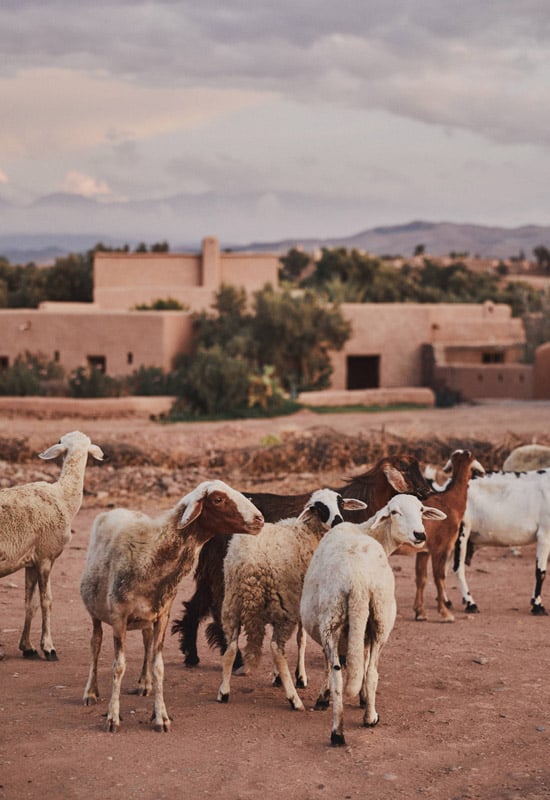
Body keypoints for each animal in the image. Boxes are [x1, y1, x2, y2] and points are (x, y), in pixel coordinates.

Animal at [0, 430, 104, 661]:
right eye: (60, 441)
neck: (63, 496)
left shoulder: (31, 559)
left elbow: (30, 604)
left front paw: (27, 647)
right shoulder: (46, 556)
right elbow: (47, 601)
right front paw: (48, 647)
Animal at [80, 480, 264, 732]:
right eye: (217, 499)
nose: (259, 519)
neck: (151, 552)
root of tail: (116, 510)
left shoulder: (162, 615)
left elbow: (158, 666)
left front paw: (161, 716)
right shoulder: (119, 617)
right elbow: (119, 666)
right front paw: (112, 717)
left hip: (146, 619)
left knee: (146, 642)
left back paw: (144, 683)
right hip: (96, 611)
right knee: (95, 644)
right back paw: (90, 692)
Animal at [172, 455, 433, 668]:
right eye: (407, 469)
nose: (426, 492)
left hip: (211, 572)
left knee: (196, 605)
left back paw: (192, 654)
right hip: (223, 571)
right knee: (219, 608)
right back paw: (233, 660)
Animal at [301, 495, 446, 746]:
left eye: (420, 510)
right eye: (395, 512)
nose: (420, 535)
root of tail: (358, 578)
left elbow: (341, 663)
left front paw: (333, 698)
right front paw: (359, 698)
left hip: (336, 619)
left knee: (344, 675)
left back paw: (342, 730)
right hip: (377, 617)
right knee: (368, 674)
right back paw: (363, 721)